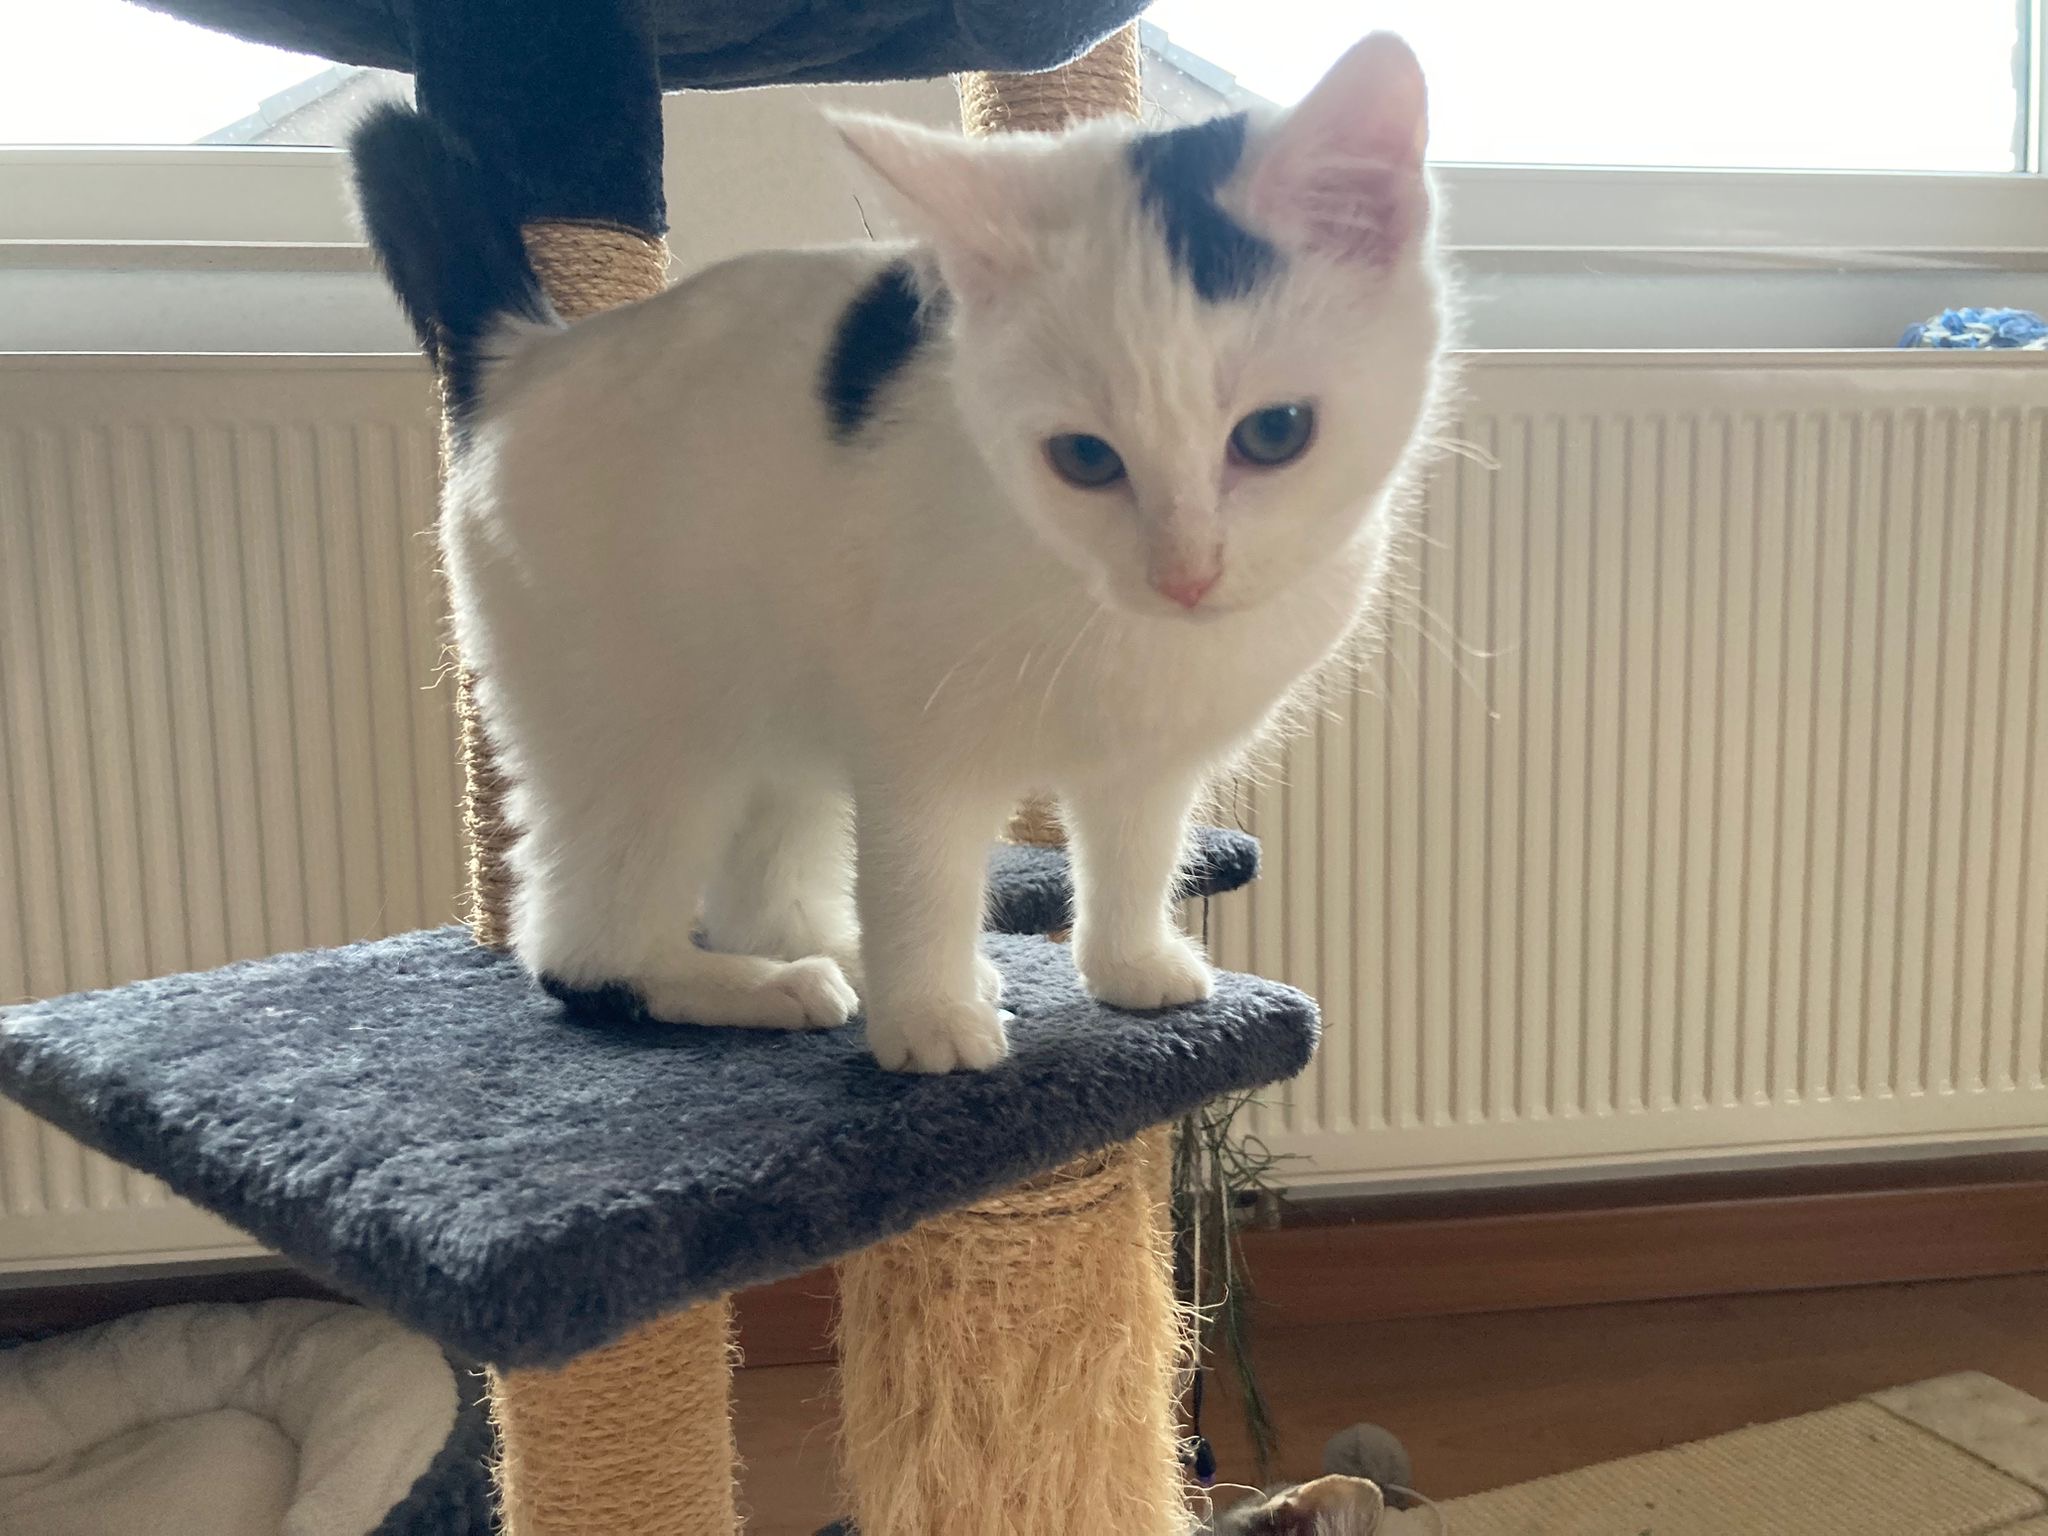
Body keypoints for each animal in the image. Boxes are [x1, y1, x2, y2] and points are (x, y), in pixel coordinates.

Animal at [349, 32, 1448, 1073]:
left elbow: (1136, 845)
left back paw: (833, 952)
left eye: (1275, 433)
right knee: (586, 952)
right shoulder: (915, 736)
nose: (1184, 573)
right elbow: (919, 871)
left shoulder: (1151, 753)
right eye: (1085, 458)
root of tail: (529, 357)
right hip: (637, 717)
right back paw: (763, 986)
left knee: (756, 886)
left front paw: (1129, 964)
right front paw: (929, 1021)